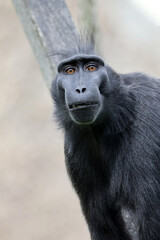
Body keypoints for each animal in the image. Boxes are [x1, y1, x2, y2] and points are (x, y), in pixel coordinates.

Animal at [51, 36, 160, 240]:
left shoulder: (147, 120)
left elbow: (152, 218)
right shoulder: (74, 150)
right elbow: (104, 224)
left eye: (91, 68)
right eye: (70, 71)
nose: (80, 89)